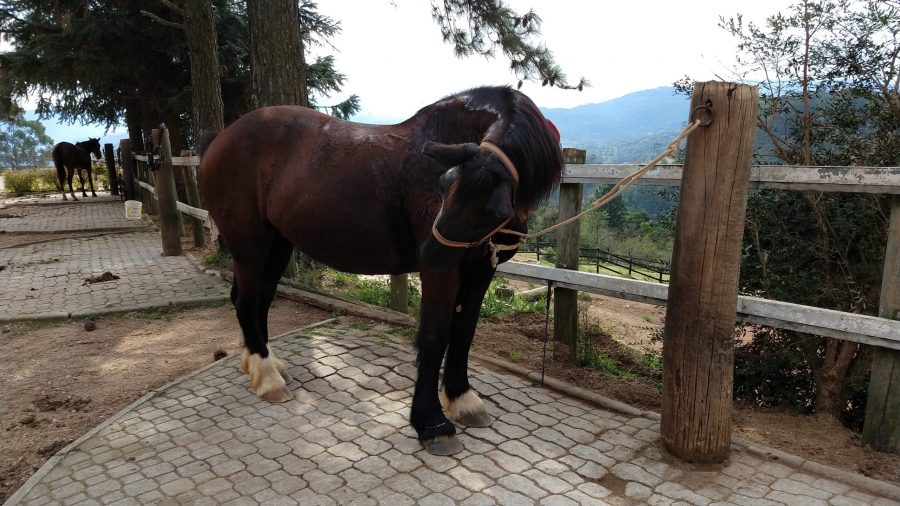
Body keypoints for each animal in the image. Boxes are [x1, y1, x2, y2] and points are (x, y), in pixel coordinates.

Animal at [198, 86, 563, 455]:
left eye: (493, 210)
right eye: (444, 185)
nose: (429, 252)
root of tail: (221, 138)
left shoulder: (480, 272)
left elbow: (464, 334)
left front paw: (462, 399)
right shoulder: (442, 273)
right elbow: (434, 338)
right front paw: (432, 424)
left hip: (278, 243)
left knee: (258, 299)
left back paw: (266, 366)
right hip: (250, 243)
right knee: (246, 302)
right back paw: (268, 378)